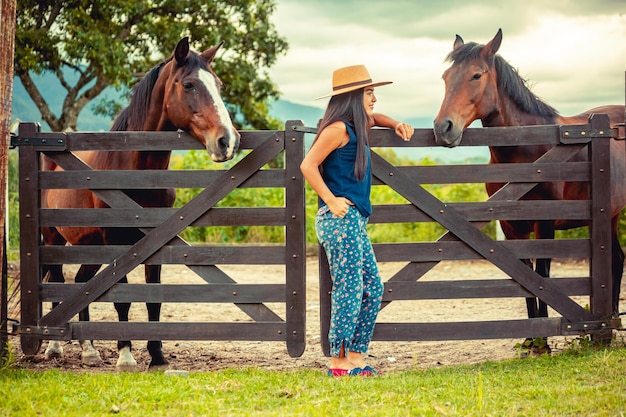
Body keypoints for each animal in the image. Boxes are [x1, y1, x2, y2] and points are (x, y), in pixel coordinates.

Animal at [39, 35, 239, 368]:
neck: (136, 173)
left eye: (219, 85)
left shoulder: (155, 243)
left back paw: (89, 349)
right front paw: (125, 355)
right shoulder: (117, 242)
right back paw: (55, 347)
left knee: (81, 283)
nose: (227, 140)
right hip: (55, 238)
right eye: (189, 85)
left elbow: (153, 299)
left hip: (90, 246)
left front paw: (157, 354)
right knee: (57, 281)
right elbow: (123, 300)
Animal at [434, 28, 624, 352]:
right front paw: (530, 338)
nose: (442, 128)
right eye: (446, 77)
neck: (526, 150)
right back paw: (611, 321)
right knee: (618, 258)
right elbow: (523, 275)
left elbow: (541, 273)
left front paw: (543, 341)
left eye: (476, 75)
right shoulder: (512, 226)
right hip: (609, 216)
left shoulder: (543, 223)